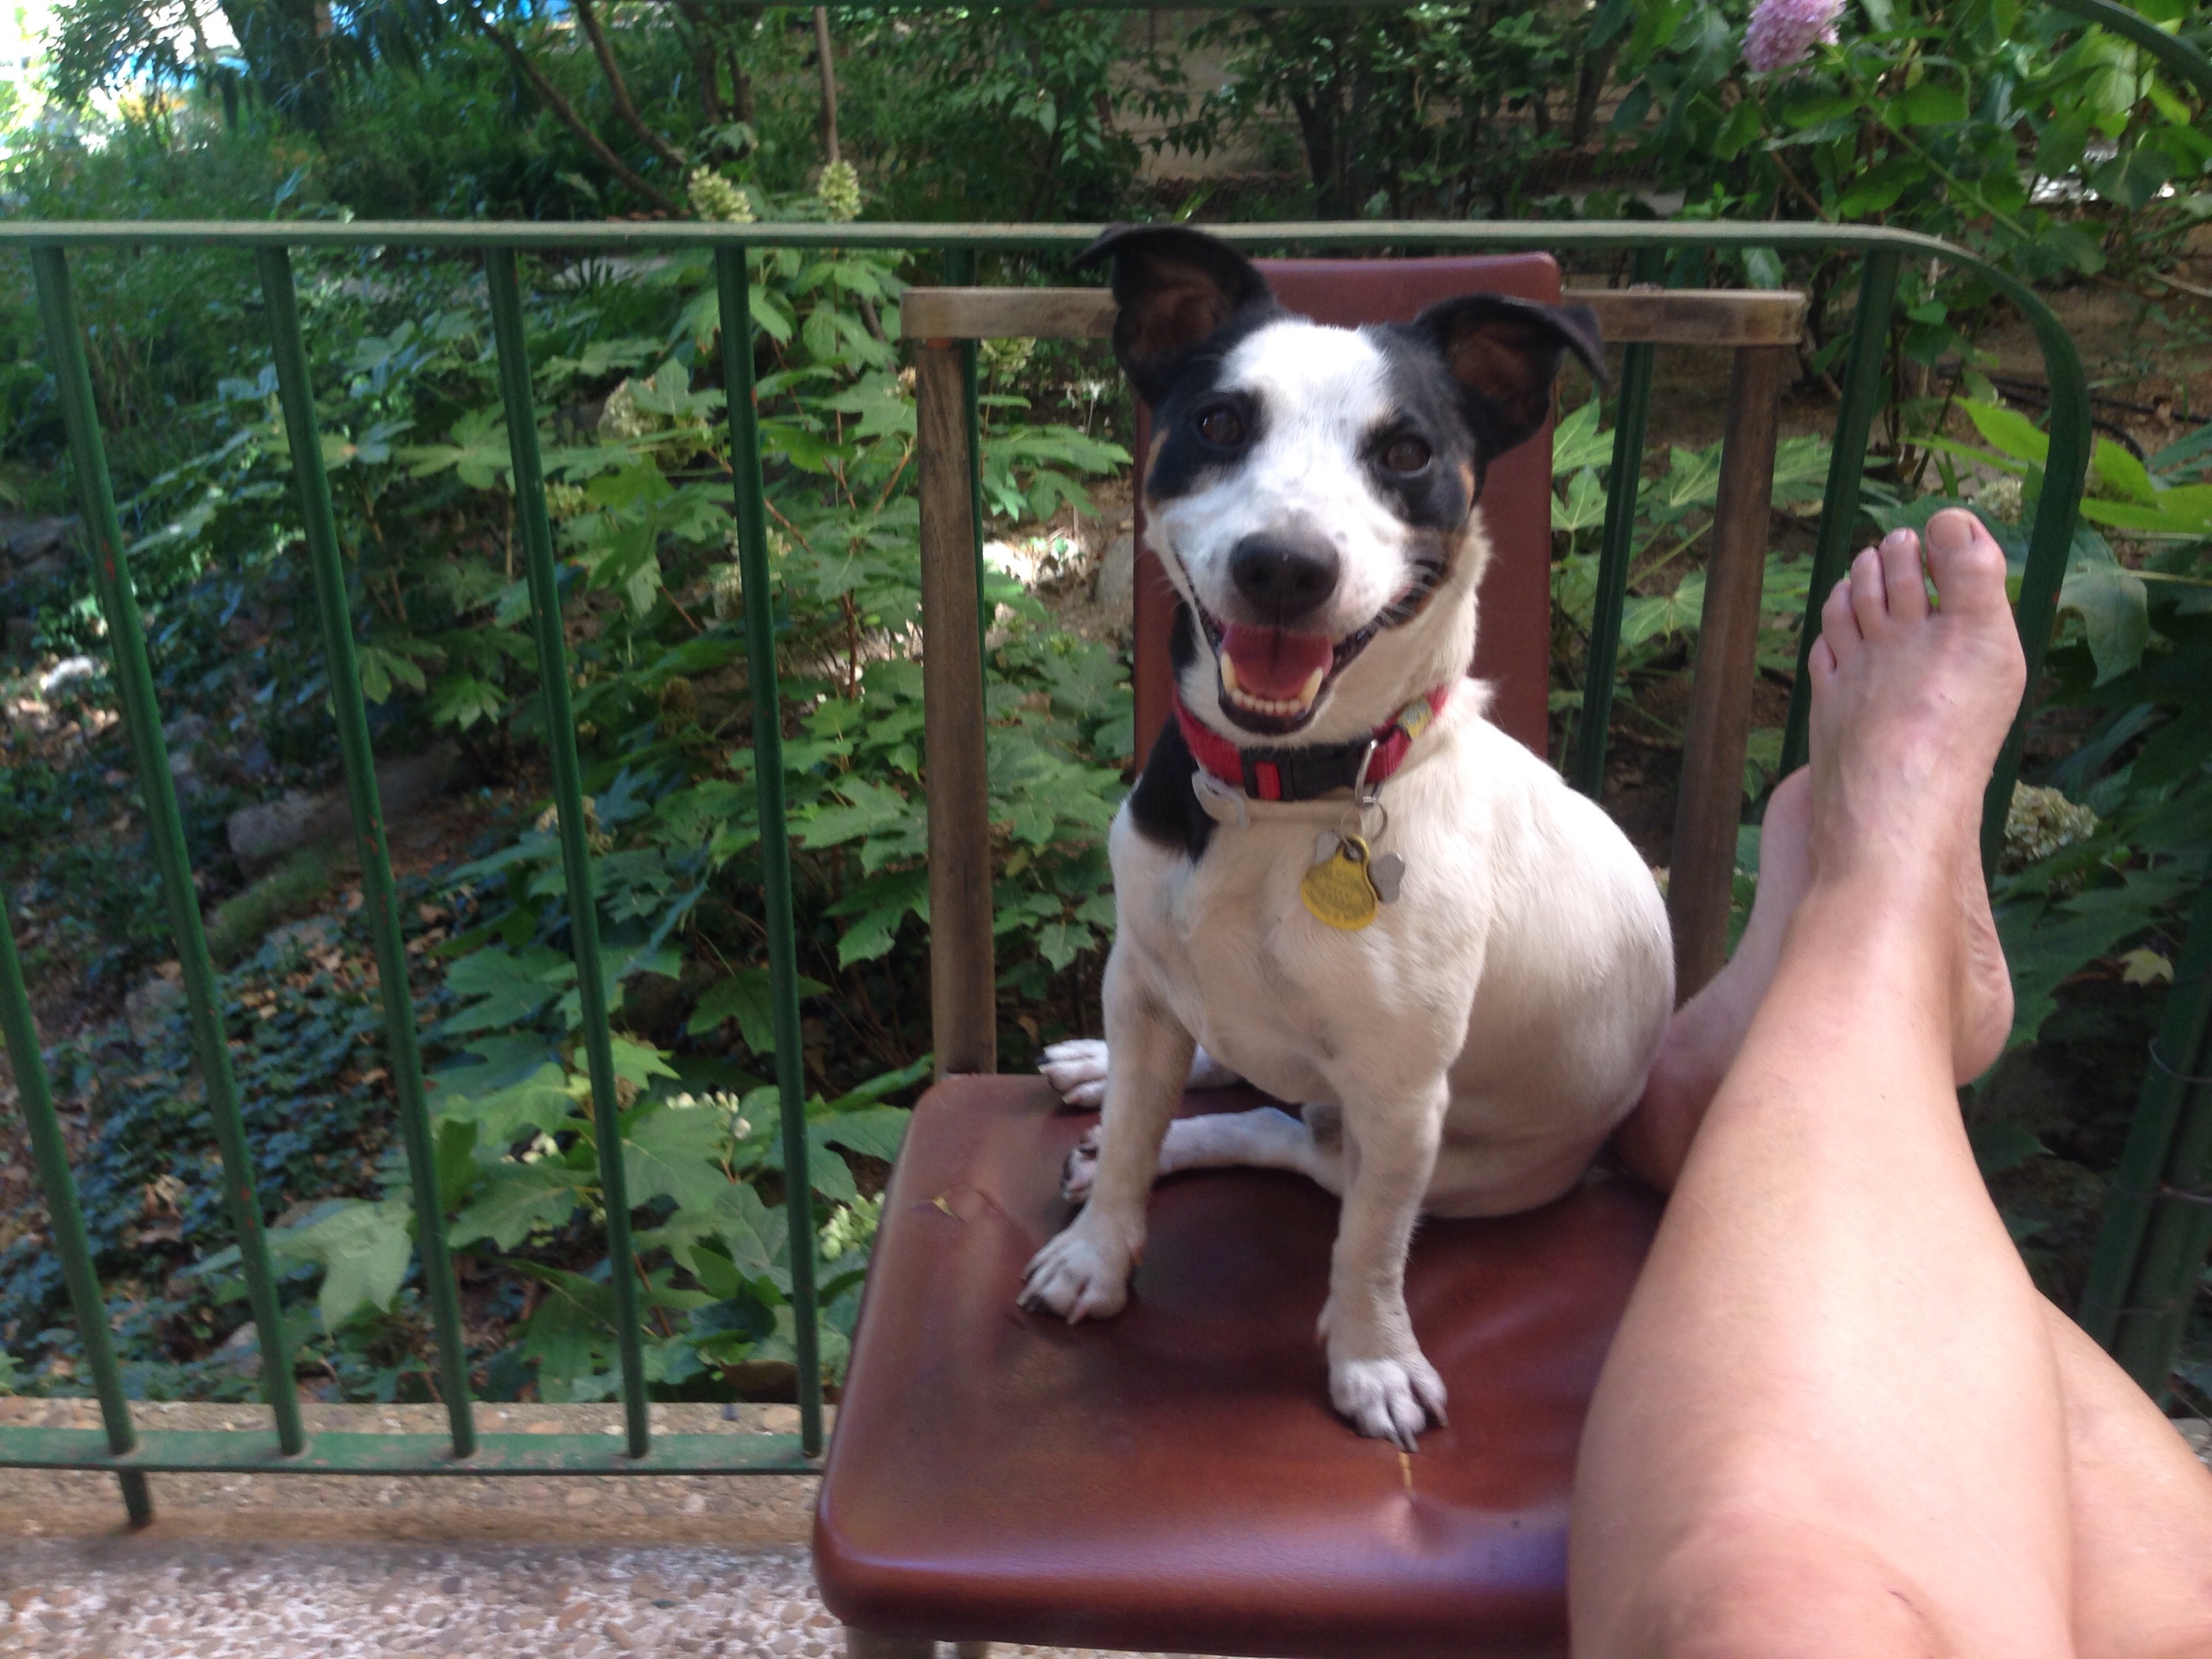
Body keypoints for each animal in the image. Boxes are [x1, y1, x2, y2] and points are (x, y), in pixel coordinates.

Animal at [1015, 226, 1676, 1448]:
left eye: (1407, 451)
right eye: (1219, 421)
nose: (1285, 564)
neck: (1283, 799)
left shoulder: (1402, 1098)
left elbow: (1368, 1246)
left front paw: (1371, 1360)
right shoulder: (1142, 977)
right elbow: (1132, 1136)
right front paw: (1098, 1254)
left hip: (1461, 1163)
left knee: (1294, 1143)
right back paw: (1107, 1077)